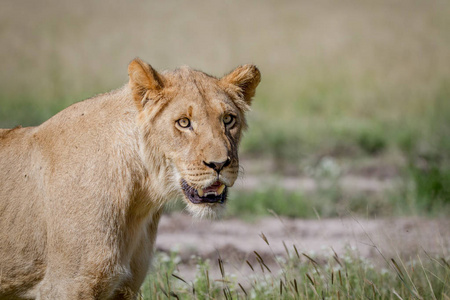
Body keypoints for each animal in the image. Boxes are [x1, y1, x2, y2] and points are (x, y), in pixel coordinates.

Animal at [0, 57, 260, 298]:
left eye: (228, 119)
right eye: (184, 123)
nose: (220, 164)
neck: (139, 197)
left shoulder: (125, 287)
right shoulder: (64, 286)